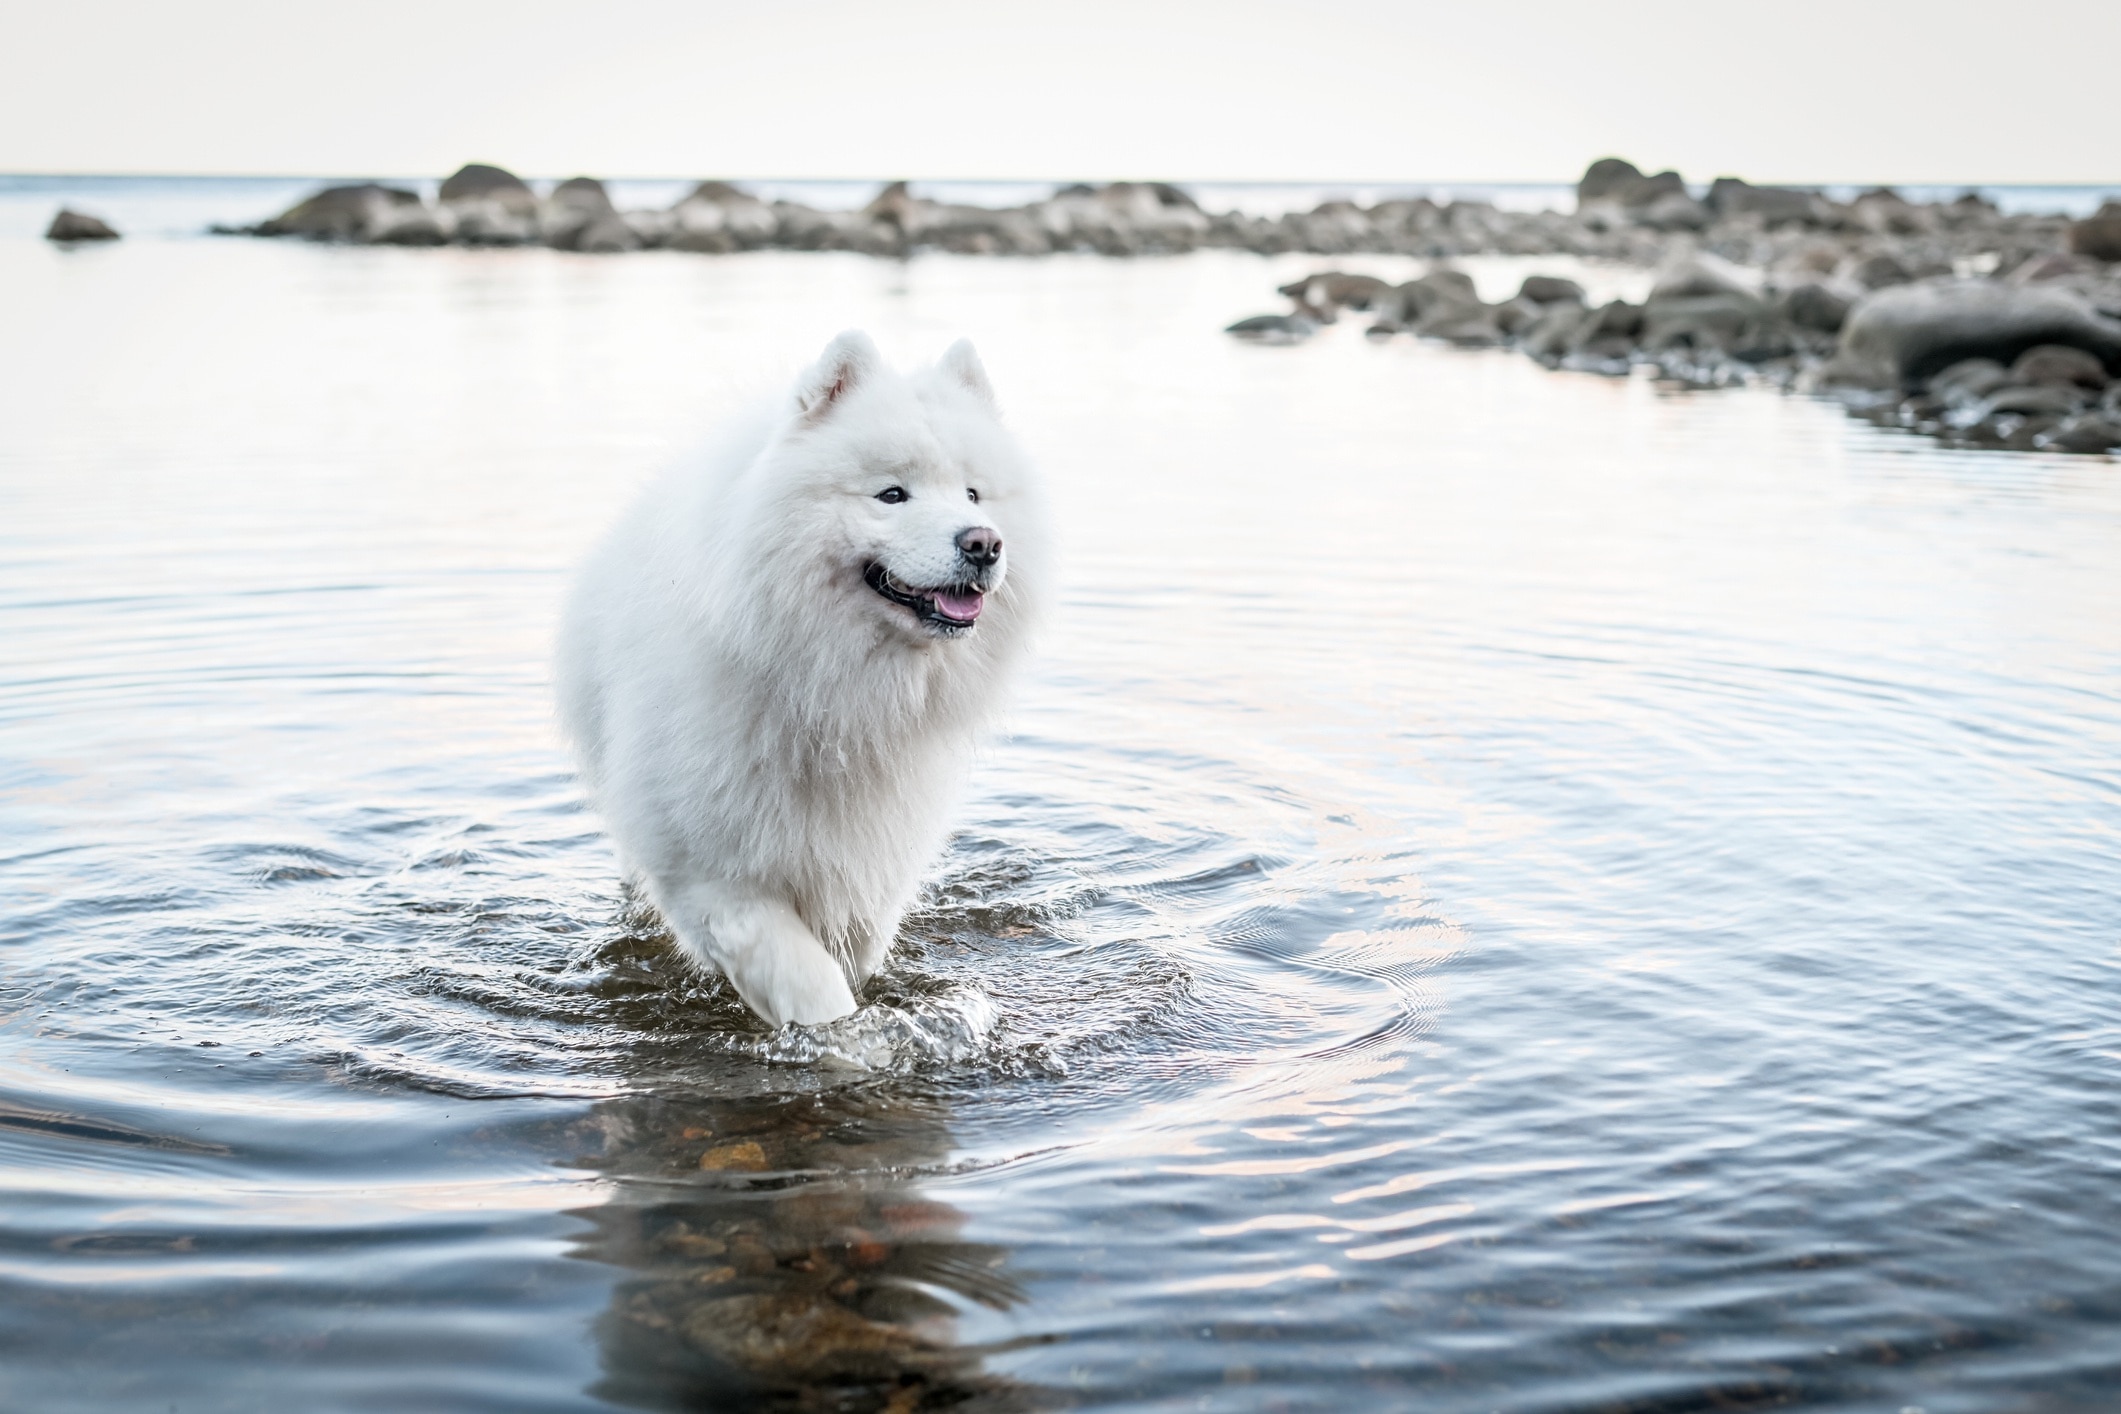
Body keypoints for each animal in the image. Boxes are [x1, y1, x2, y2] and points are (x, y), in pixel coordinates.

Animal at [555, 332, 1052, 1030]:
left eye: (974, 495)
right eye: (891, 495)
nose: (983, 543)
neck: (831, 689)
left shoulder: (870, 859)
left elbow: (854, 955)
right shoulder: (713, 871)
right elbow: (810, 986)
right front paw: (851, 1042)